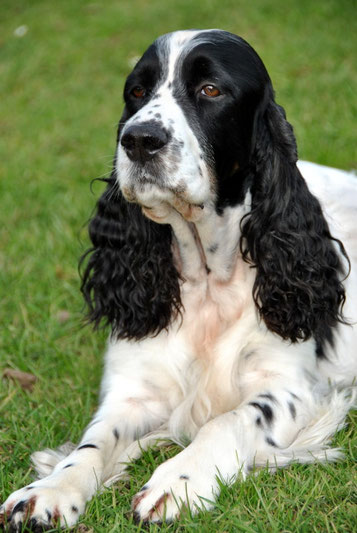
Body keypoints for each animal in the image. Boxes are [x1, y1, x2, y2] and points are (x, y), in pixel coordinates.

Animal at [1, 29, 354, 528]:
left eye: (210, 89)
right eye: (136, 92)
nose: (138, 140)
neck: (208, 277)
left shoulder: (291, 385)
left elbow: (227, 419)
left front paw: (178, 480)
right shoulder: (133, 391)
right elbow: (94, 443)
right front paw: (49, 490)